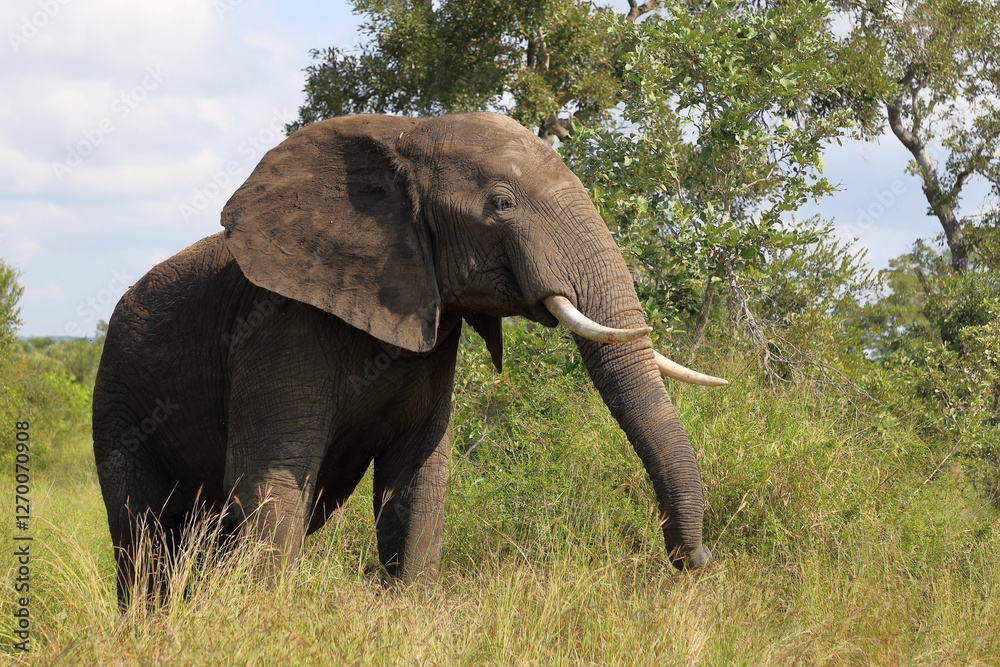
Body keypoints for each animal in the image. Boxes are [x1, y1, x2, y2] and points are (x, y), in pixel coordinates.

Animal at [93, 112, 724, 606]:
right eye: (501, 204)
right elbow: (272, 477)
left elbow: (417, 476)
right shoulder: (277, 324)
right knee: (145, 538)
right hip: (117, 395)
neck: (406, 137)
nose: (698, 562)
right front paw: (263, 623)